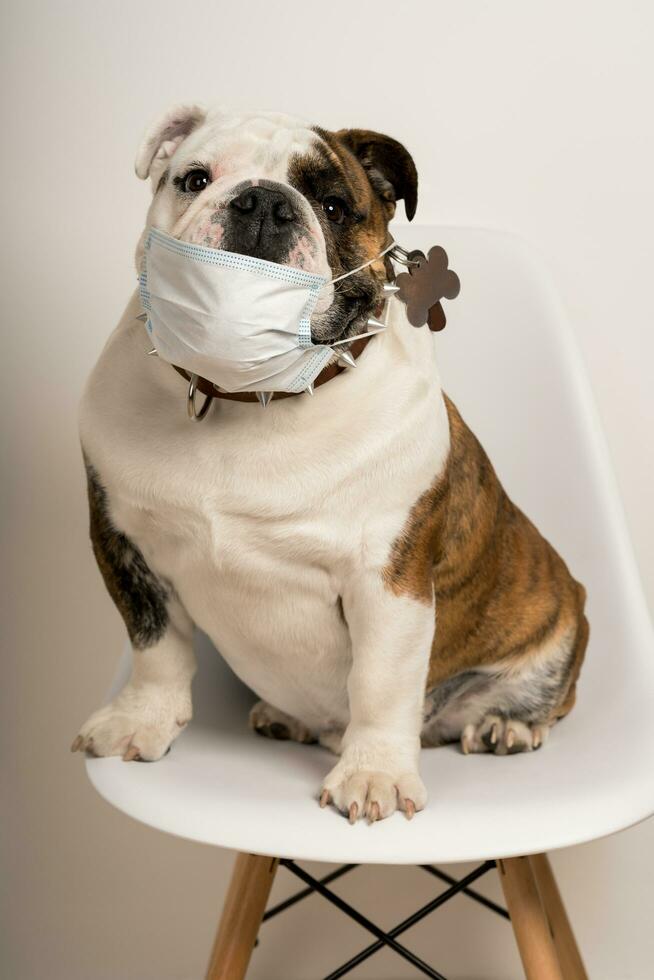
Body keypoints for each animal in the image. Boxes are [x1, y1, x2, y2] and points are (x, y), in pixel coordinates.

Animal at [72, 103, 588, 824]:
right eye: (194, 178)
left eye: (336, 205)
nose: (263, 201)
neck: (248, 400)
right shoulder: (125, 541)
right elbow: (156, 647)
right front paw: (139, 720)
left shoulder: (390, 582)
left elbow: (380, 682)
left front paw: (374, 774)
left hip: (559, 625)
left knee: (534, 698)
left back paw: (507, 725)